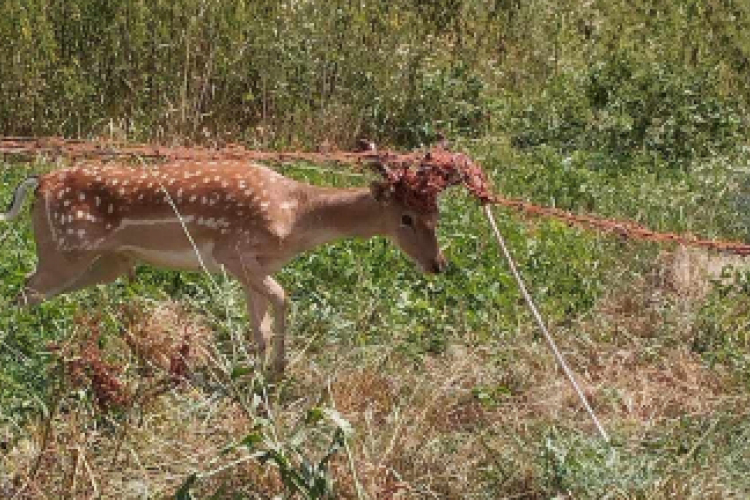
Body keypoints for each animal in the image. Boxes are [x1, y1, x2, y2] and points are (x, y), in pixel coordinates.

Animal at [2, 160, 450, 376]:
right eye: (406, 217)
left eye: (437, 213)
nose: (439, 264)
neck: (296, 217)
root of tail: (40, 181)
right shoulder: (232, 251)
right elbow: (283, 297)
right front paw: (279, 369)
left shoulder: (253, 264)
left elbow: (259, 322)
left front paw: (256, 371)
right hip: (65, 249)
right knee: (23, 292)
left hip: (105, 261)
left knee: (31, 293)